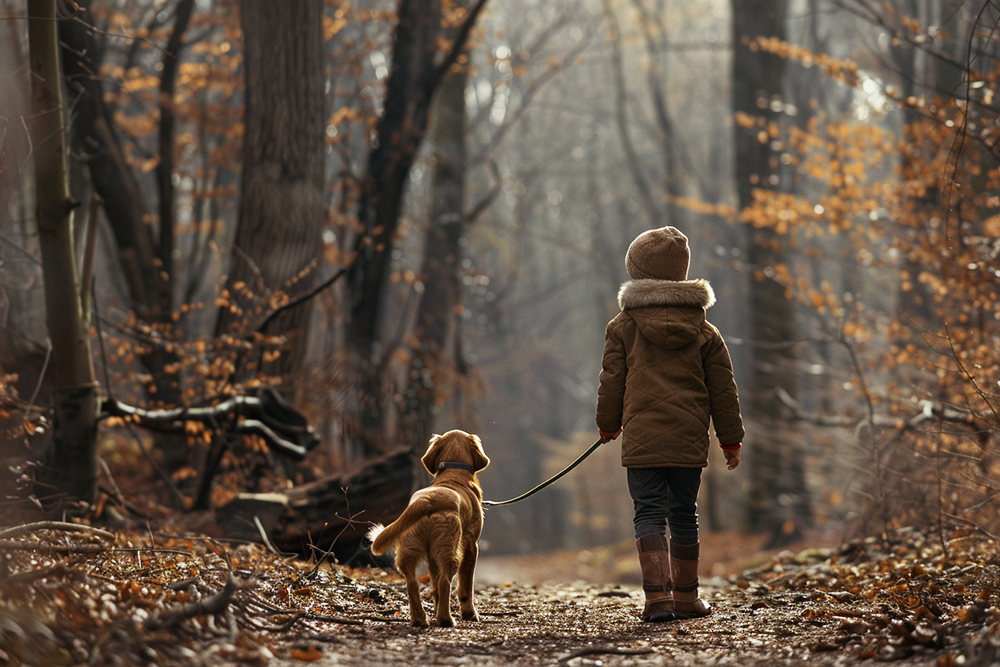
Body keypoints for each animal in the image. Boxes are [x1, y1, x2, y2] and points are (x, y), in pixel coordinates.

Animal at [368, 430, 492, 628]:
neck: (454, 474)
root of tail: (426, 501)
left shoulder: (431, 555)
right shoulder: (471, 545)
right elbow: (466, 586)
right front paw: (469, 613)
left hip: (410, 550)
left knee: (413, 583)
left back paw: (420, 619)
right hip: (451, 549)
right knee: (444, 582)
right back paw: (446, 619)